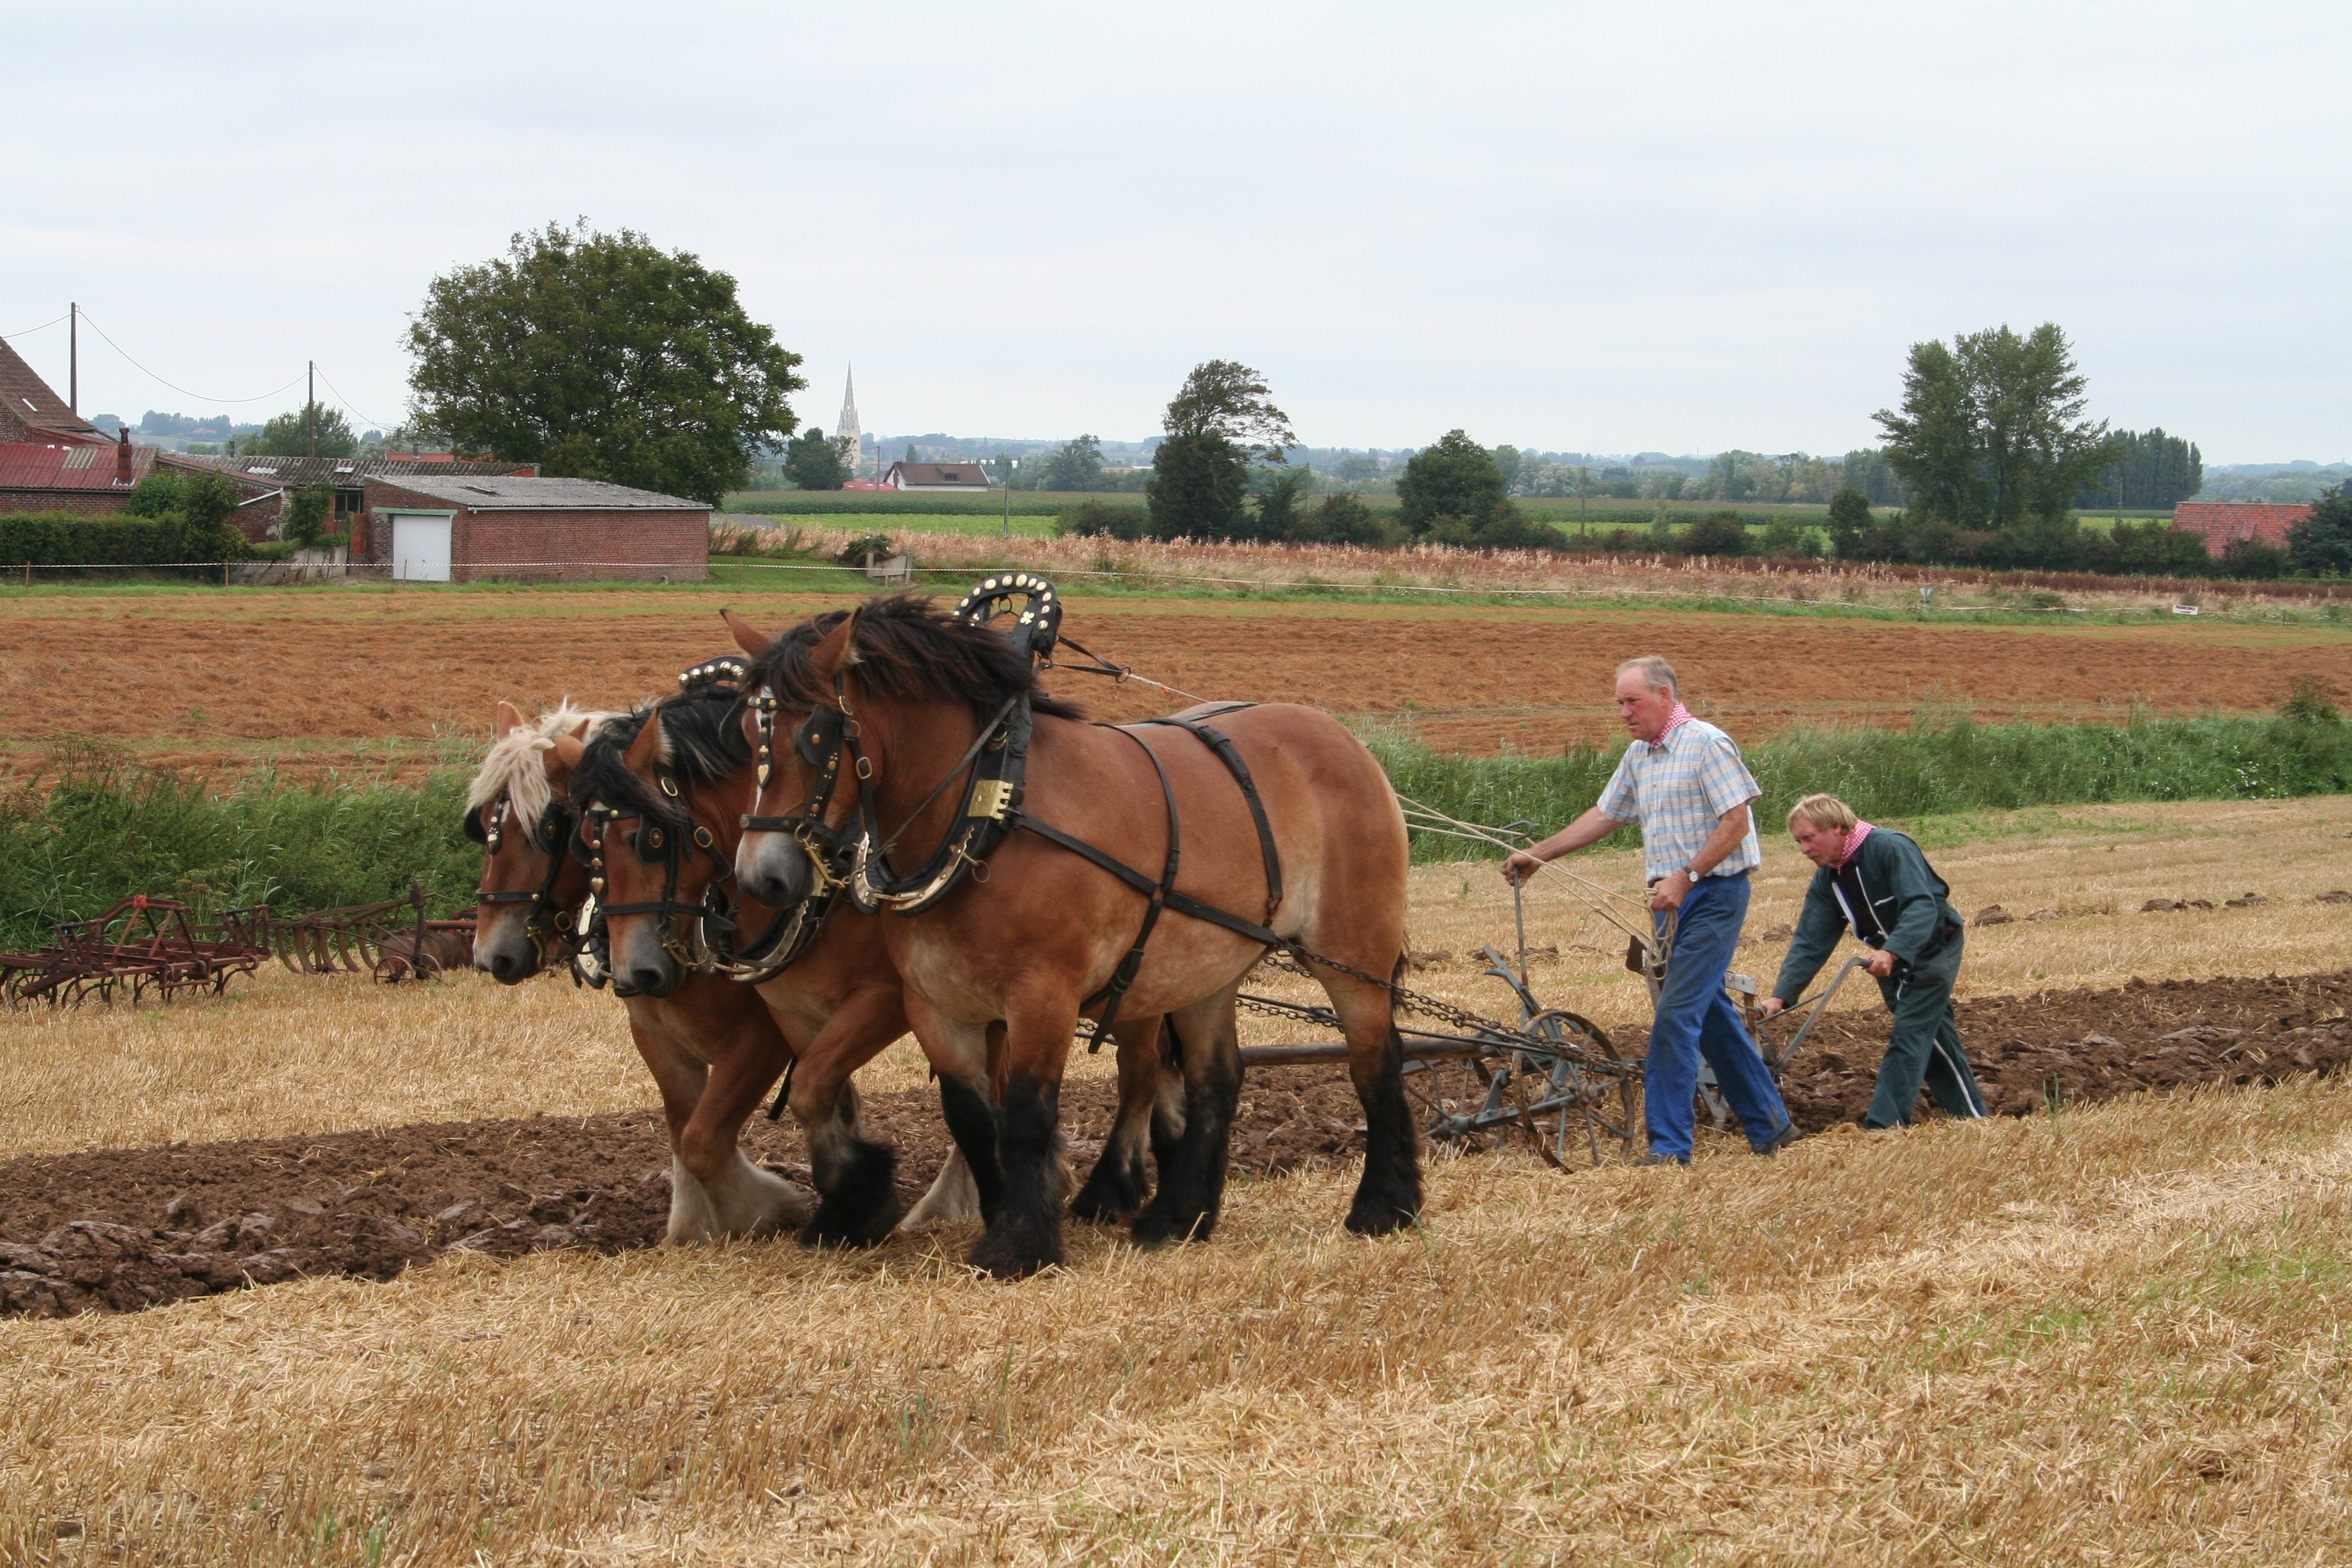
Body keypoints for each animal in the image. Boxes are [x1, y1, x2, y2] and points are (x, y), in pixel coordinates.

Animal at [734, 587, 1411, 1279]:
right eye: (745, 735)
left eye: (814, 735)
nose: (761, 877)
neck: (987, 812)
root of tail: (1343, 738)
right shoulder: (934, 1005)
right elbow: (973, 1121)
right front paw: (1000, 1215)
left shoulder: (1043, 997)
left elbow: (1028, 1117)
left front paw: (1018, 1247)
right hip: (1206, 970)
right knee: (1218, 1079)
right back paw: (1179, 1218)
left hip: (1353, 950)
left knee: (1375, 1063)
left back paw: (1385, 1206)